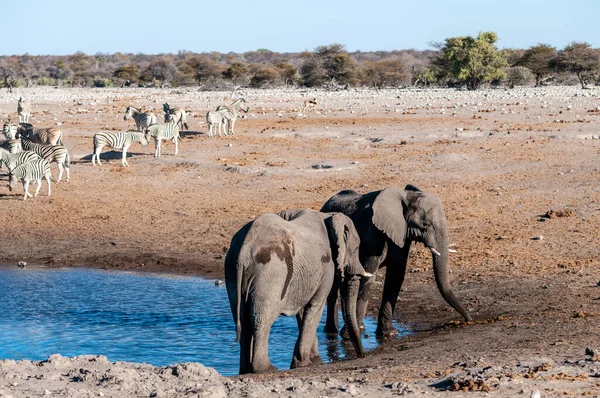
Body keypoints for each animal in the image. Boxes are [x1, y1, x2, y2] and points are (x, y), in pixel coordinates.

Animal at [224, 208, 370, 374]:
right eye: (357, 248)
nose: (362, 356)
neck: (329, 216)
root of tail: (243, 251)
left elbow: (303, 312)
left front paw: (313, 360)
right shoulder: (328, 267)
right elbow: (315, 306)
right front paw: (306, 363)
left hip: (232, 270)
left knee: (242, 318)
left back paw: (245, 370)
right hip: (271, 272)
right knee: (261, 318)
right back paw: (266, 369)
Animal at [322, 185, 472, 338]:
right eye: (425, 224)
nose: (468, 320)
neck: (407, 196)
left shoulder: (402, 234)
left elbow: (396, 275)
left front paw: (389, 334)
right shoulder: (373, 232)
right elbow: (368, 276)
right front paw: (347, 336)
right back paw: (332, 333)